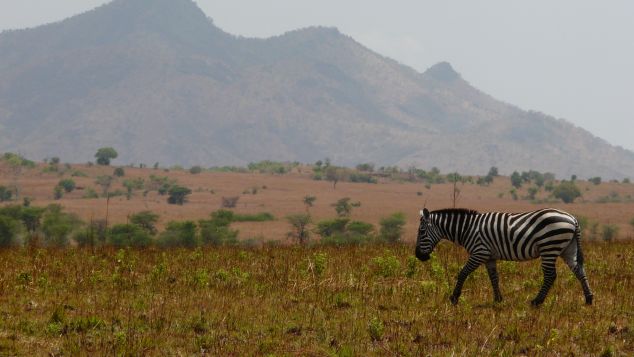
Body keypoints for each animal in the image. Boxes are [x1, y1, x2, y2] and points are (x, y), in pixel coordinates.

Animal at [414, 207, 592, 304]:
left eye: (421, 232)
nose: (418, 256)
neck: (467, 229)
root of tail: (573, 219)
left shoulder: (479, 252)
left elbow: (463, 273)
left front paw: (454, 298)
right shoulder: (489, 257)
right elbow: (494, 277)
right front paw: (498, 299)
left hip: (549, 247)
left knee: (550, 275)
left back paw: (537, 301)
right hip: (567, 249)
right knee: (579, 270)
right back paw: (589, 299)